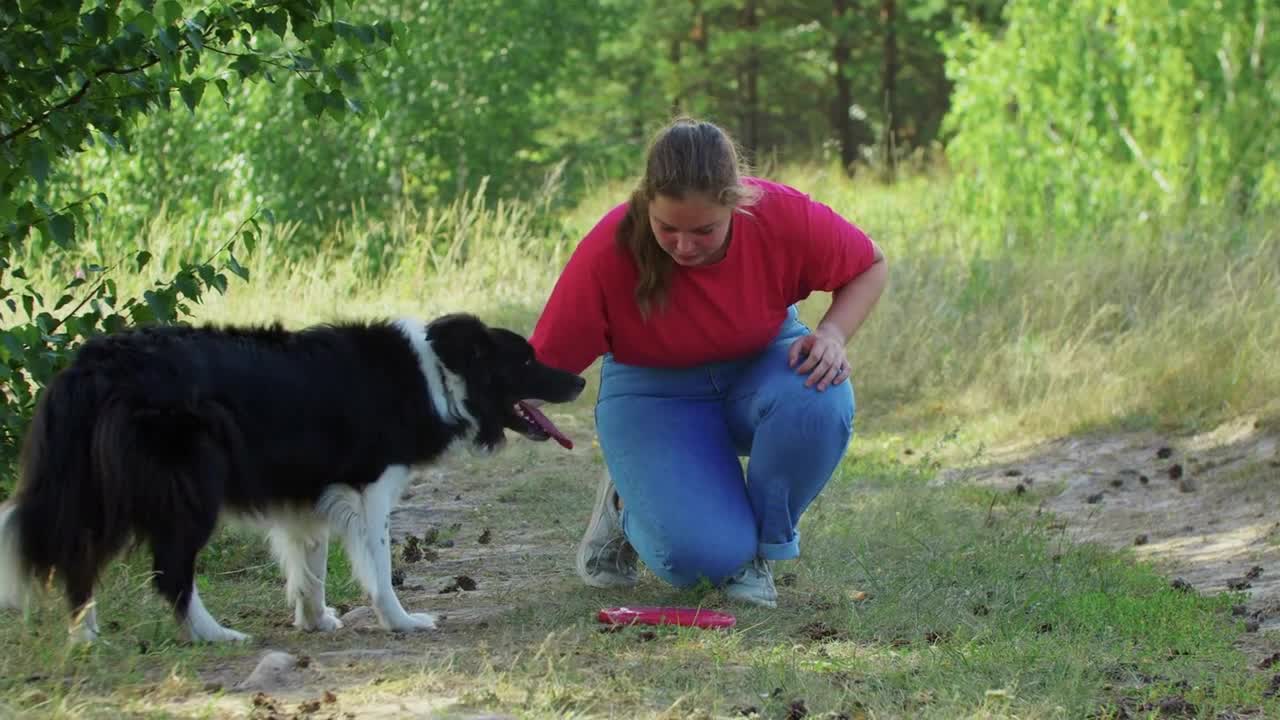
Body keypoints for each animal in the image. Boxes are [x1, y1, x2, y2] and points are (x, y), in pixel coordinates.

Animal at [0, 312, 583, 638]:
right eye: (526, 361)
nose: (578, 381)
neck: (439, 374)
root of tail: (89, 367)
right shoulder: (370, 486)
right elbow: (379, 565)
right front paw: (401, 622)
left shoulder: (311, 493)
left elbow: (311, 565)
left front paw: (315, 621)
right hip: (186, 489)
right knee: (170, 572)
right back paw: (214, 636)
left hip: (97, 491)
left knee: (78, 560)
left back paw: (87, 638)